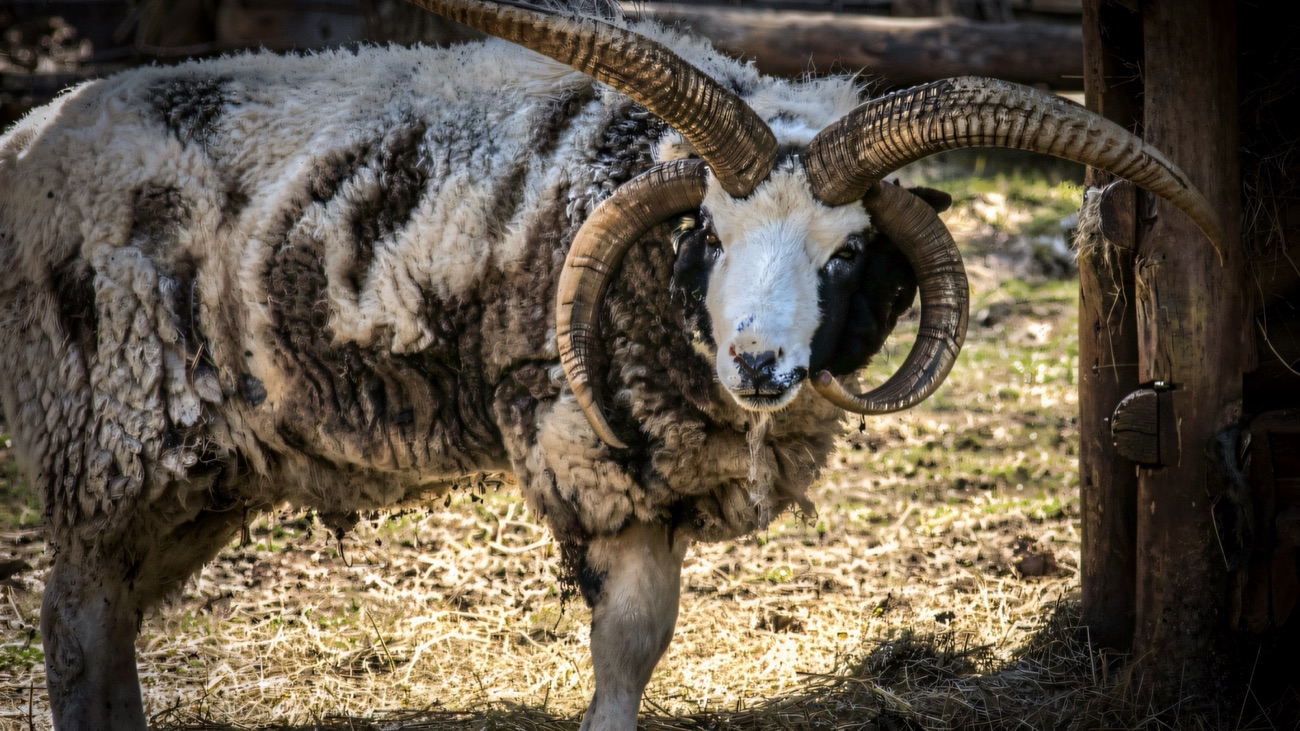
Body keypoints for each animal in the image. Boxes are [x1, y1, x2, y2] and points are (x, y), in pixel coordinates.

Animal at [0, 0, 1223, 728]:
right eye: (709, 233)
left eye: (845, 252)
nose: (761, 362)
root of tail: (29, 134)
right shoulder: (596, 459)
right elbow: (631, 644)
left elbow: (653, 638)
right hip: (104, 435)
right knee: (76, 621)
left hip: (196, 469)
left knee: (110, 621)